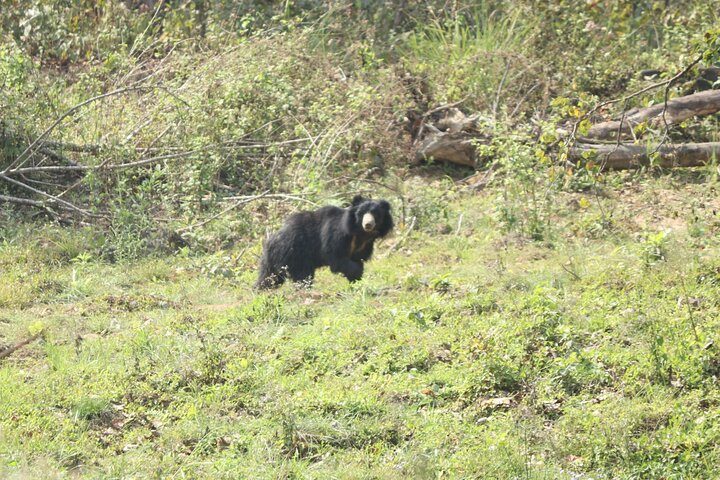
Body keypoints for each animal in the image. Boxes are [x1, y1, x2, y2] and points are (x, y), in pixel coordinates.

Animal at [256, 195, 394, 288]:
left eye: (376, 214)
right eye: (362, 213)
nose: (368, 224)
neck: (360, 233)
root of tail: (271, 240)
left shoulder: (364, 245)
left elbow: (357, 260)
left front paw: (356, 282)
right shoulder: (335, 235)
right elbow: (336, 259)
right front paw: (356, 275)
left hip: (274, 260)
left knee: (269, 278)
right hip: (294, 253)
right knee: (303, 275)